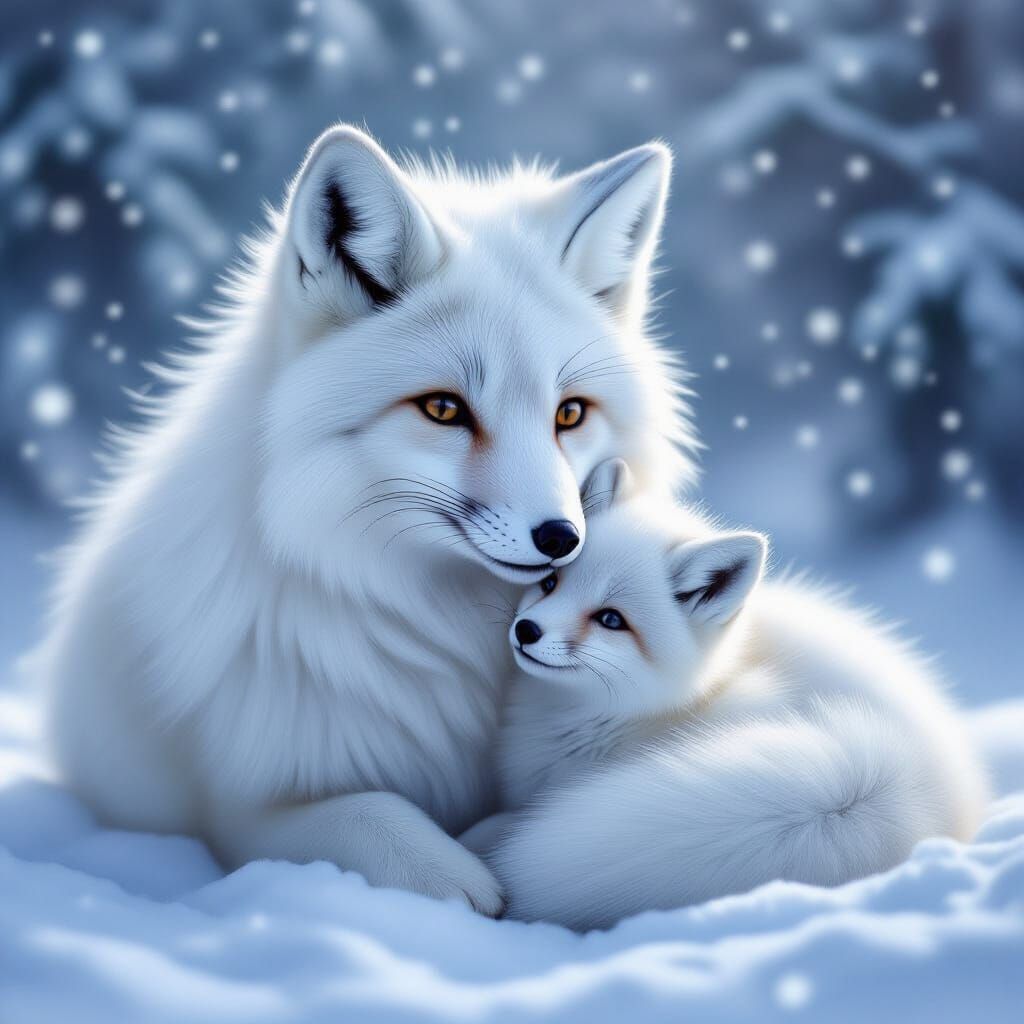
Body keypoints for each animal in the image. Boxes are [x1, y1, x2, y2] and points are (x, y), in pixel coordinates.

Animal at [37, 126, 696, 915]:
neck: (448, 634)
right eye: (444, 408)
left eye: (569, 414)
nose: (562, 539)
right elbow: (376, 817)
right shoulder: (242, 808)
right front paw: (465, 883)